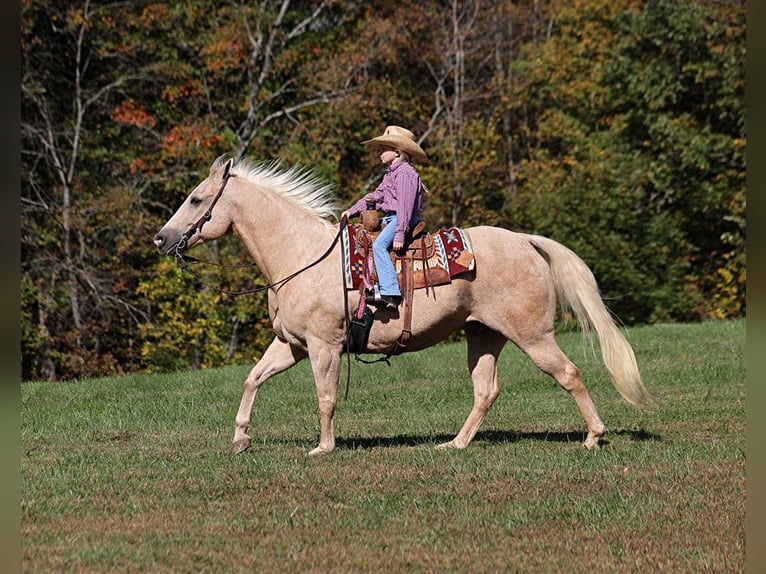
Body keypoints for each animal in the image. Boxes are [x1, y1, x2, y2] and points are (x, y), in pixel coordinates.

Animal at [154, 155, 656, 456]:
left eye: (196, 199)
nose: (161, 238)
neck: (300, 255)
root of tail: (525, 241)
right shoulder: (291, 344)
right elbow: (253, 379)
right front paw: (240, 438)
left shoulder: (323, 346)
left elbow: (325, 395)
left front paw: (323, 447)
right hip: (484, 336)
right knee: (485, 391)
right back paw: (454, 445)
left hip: (533, 336)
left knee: (568, 374)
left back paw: (593, 438)